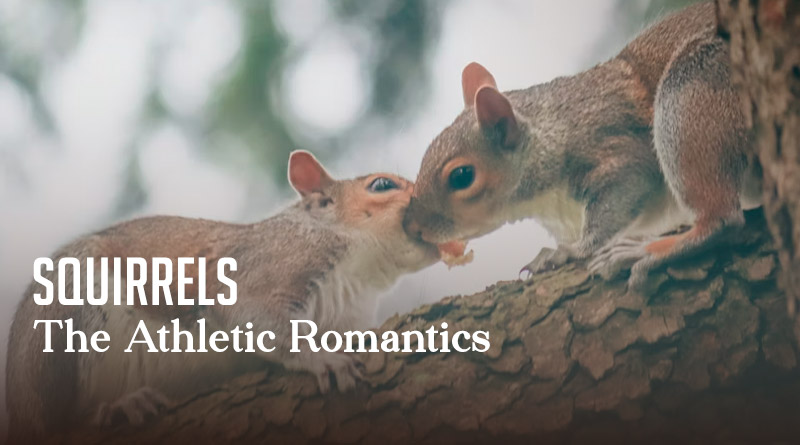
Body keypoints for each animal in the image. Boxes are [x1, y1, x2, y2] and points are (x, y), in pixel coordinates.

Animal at [6, 150, 439, 443]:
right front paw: (323, 358)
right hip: (68, 324)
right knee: (63, 418)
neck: (359, 275)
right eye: (381, 185)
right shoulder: (265, 269)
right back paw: (119, 408)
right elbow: (258, 320)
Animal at [403, 1, 760, 288]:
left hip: (691, 91)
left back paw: (643, 252)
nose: (411, 227)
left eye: (461, 176)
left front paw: (569, 252)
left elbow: (628, 184)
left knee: (723, 220)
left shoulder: (614, 150)